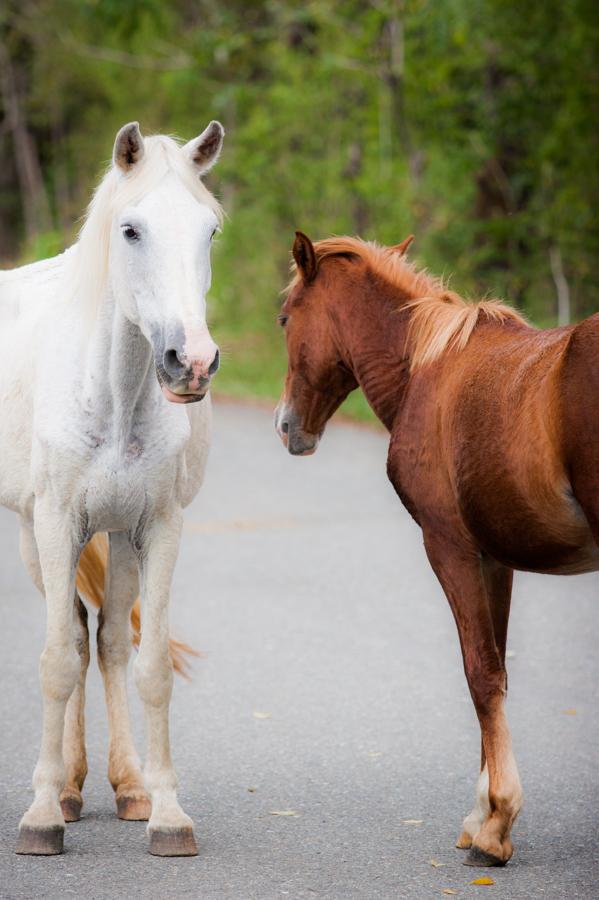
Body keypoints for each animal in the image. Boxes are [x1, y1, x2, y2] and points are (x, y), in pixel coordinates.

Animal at [0, 119, 225, 856]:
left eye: (210, 231)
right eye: (130, 230)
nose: (192, 363)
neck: (116, 395)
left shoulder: (158, 527)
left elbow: (148, 665)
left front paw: (167, 813)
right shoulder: (54, 523)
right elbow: (54, 663)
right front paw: (42, 814)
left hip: (119, 538)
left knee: (106, 642)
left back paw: (125, 785)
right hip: (33, 535)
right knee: (71, 636)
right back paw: (66, 790)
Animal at [276, 229, 599, 868]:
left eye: (285, 318)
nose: (286, 426)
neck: (423, 370)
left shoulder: (448, 547)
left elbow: (480, 674)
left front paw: (496, 823)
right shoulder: (495, 560)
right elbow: (497, 670)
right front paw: (481, 816)